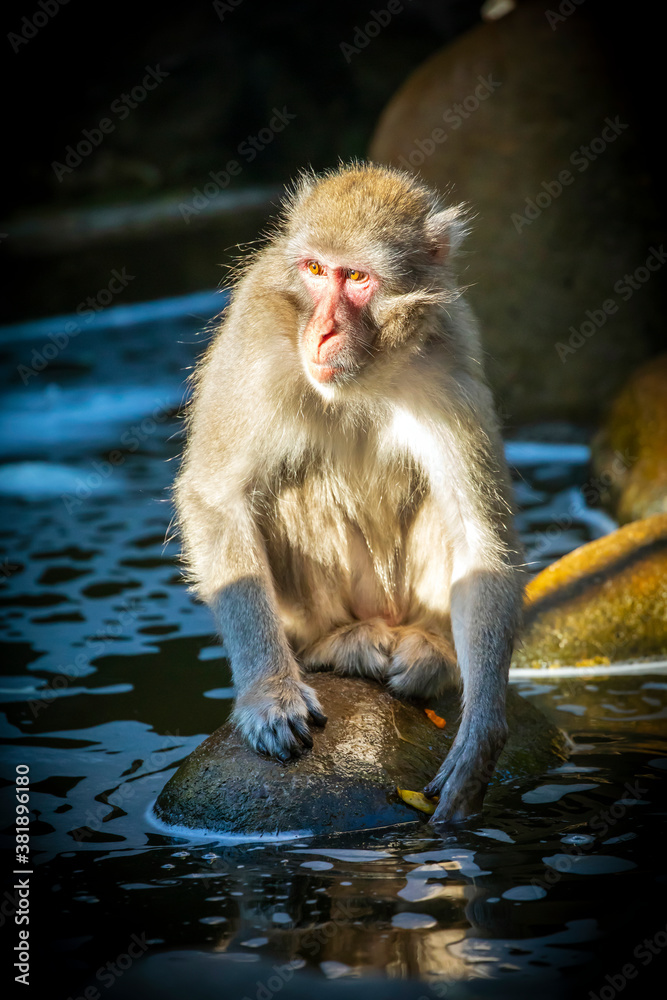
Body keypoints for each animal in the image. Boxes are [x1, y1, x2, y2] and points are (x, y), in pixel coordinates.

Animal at [174, 162, 523, 824]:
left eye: (357, 278)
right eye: (315, 271)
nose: (322, 331)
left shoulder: (448, 355)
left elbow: (480, 537)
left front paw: (480, 739)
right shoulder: (255, 338)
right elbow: (216, 497)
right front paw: (269, 694)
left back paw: (432, 654)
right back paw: (339, 646)